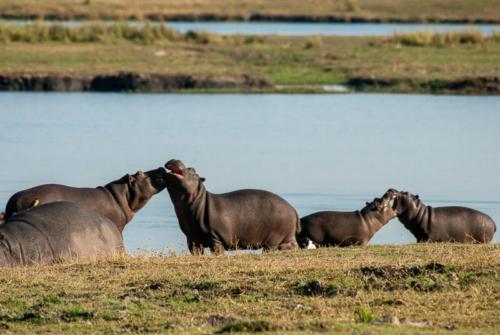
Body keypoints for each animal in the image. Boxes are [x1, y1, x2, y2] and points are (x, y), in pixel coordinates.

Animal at [165, 160, 300, 255]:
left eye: (193, 170)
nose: (175, 159)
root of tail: (293, 210)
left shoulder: (216, 238)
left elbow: (217, 251)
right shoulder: (192, 239)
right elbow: (195, 252)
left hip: (273, 240)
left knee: (271, 248)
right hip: (284, 238)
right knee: (292, 245)